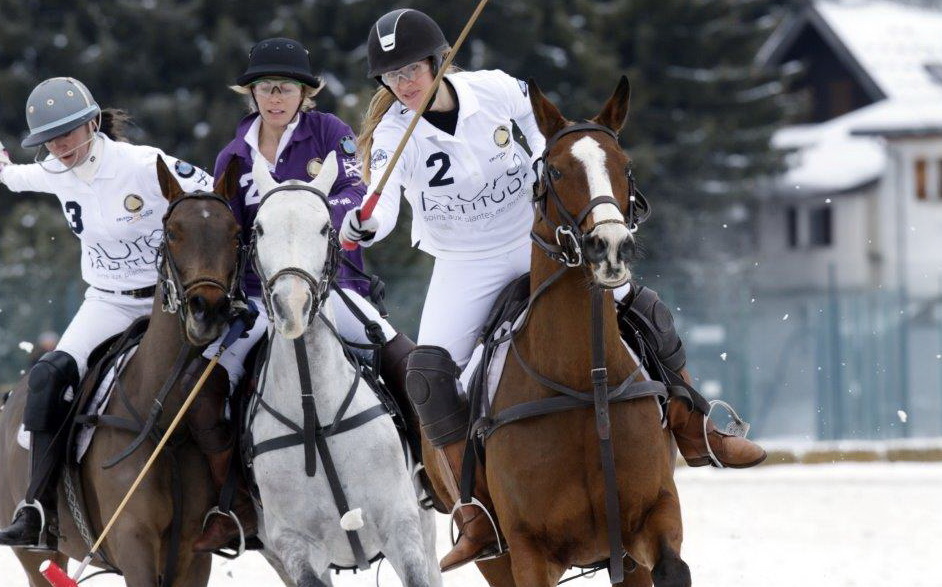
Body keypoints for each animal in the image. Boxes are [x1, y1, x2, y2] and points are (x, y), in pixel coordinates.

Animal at [0, 157, 247, 587]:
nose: (209, 311)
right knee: (53, 371)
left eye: (234, 234)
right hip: (33, 556)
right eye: (172, 233)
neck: (163, 421)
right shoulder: (133, 540)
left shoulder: (191, 553)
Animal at [249, 153, 444, 587]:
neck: (315, 415)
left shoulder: (400, 521)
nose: (291, 306)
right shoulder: (294, 545)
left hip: (424, 520)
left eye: (325, 227)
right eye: (259, 227)